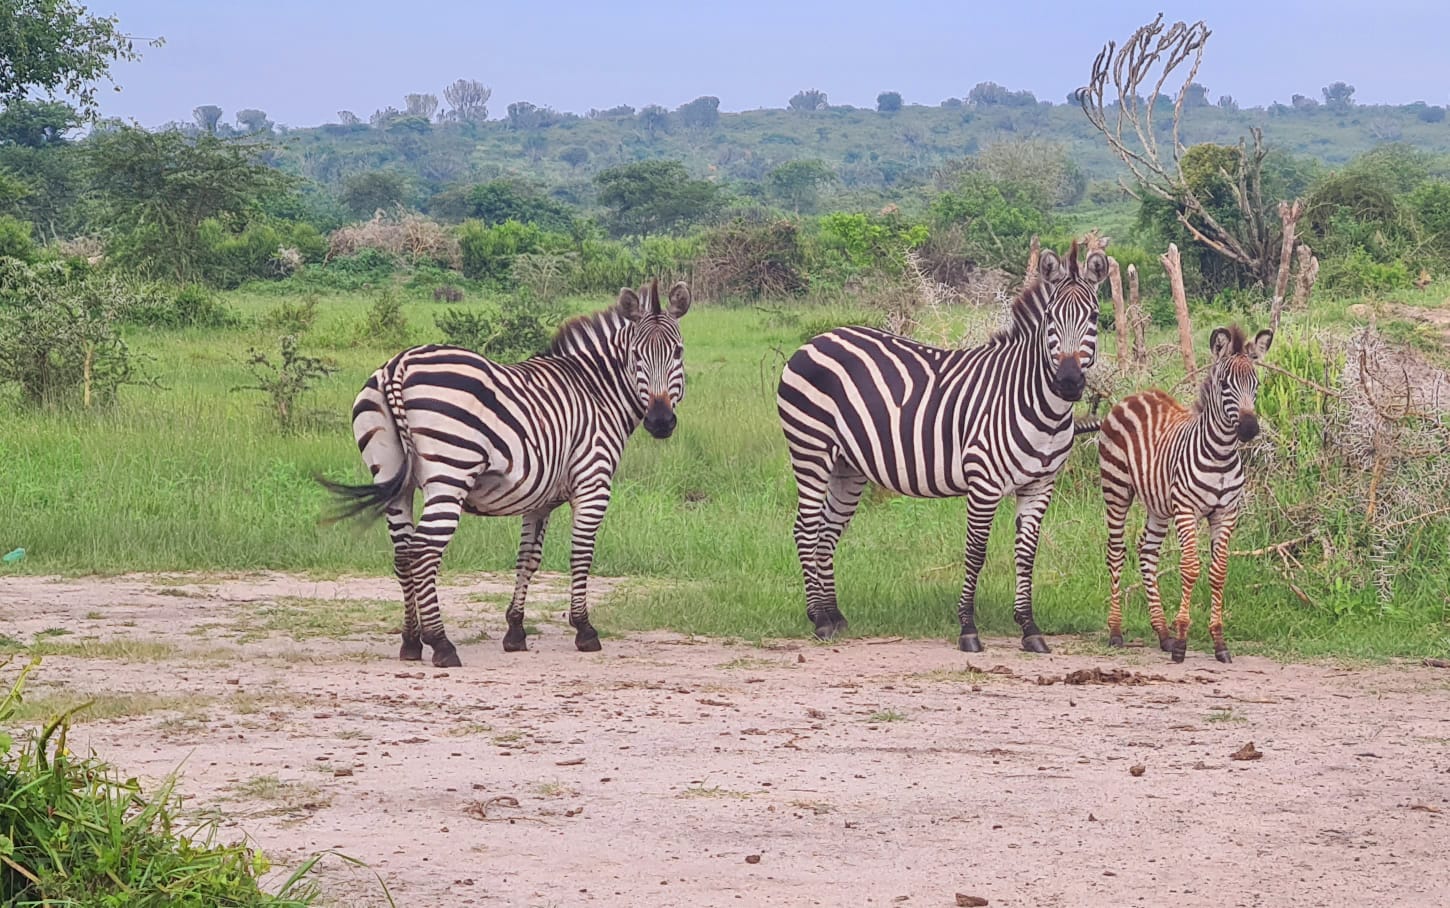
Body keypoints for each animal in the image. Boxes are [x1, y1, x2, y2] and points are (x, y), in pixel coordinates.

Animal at [319, 279, 691, 667]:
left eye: (678, 353)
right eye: (636, 356)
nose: (661, 422)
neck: (597, 392)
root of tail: (398, 364)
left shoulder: (540, 498)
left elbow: (528, 558)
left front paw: (515, 630)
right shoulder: (593, 483)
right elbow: (581, 554)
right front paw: (584, 629)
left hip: (392, 477)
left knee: (404, 553)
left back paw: (410, 642)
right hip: (449, 474)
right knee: (423, 552)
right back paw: (441, 644)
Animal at [776, 242, 1107, 654]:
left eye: (1094, 317)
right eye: (1049, 318)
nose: (1069, 382)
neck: (1040, 405)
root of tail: (817, 340)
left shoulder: (1040, 486)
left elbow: (1027, 555)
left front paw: (1030, 628)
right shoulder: (984, 483)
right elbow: (976, 553)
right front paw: (968, 628)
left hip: (846, 466)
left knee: (827, 530)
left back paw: (834, 615)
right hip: (810, 449)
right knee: (806, 528)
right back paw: (819, 620)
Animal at [1094, 324, 1272, 664]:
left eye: (1256, 384)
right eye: (1224, 384)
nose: (1249, 429)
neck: (1221, 454)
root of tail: (1136, 395)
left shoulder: (1225, 513)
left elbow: (1218, 572)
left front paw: (1218, 642)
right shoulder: (1187, 510)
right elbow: (1189, 569)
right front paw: (1181, 641)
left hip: (1158, 505)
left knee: (1147, 552)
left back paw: (1161, 632)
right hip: (1116, 488)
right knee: (1116, 552)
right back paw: (1116, 631)